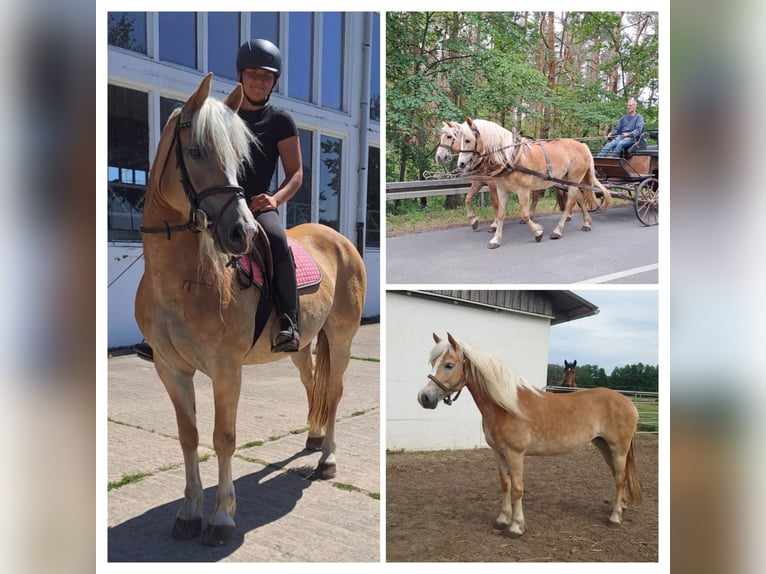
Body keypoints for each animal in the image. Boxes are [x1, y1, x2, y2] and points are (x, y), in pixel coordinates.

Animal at [135, 74, 368, 548]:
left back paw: (327, 460)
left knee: (334, 393)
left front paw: (222, 518)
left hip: (342, 338)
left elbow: (223, 438)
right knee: (312, 383)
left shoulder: (226, 370)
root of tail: (341, 240)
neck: (180, 282)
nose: (241, 232)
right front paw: (189, 513)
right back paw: (314, 438)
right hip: (300, 345)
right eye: (196, 151)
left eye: (238, 158)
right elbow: (188, 437)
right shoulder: (170, 369)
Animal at [420, 332, 640, 540]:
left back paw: (614, 518)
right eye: (433, 362)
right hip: (604, 446)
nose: (424, 397)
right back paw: (620, 507)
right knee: (619, 476)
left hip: (618, 448)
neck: (505, 407)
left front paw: (516, 527)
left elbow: (517, 488)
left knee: (620, 477)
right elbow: (505, 485)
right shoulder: (499, 453)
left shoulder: (515, 453)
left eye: (449, 365)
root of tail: (628, 403)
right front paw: (502, 520)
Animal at [436, 121, 568, 234]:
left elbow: (495, 204)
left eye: (449, 136)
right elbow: (468, 198)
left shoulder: (493, 184)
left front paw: (494, 225)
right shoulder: (478, 181)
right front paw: (473, 221)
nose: (438, 157)